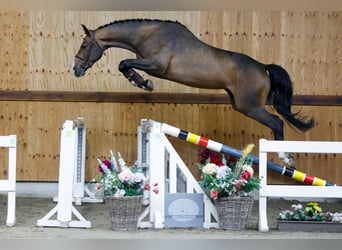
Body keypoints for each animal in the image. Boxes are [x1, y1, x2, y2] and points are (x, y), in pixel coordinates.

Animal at [73, 18, 314, 167]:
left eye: (84, 45)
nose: (76, 69)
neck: (149, 35)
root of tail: (263, 67)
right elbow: (124, 64)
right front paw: (141, 82)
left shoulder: (156, 65)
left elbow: (123, 63)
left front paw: (143, 83)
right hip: (239, 104)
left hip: (251, 107)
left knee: (277, 123)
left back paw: (286, 158)